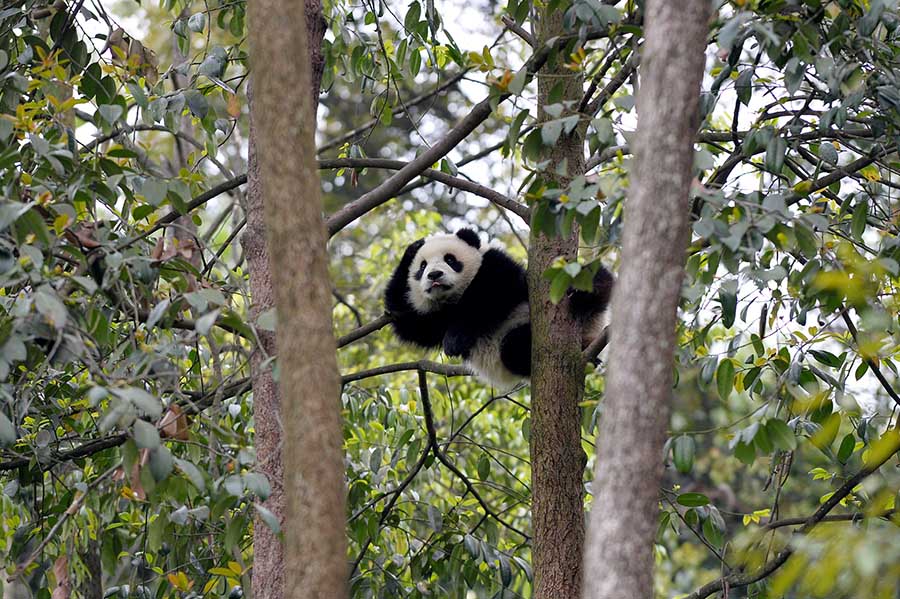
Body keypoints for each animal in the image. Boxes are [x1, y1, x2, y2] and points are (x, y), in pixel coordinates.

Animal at [384, 229, 616, 390]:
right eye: (422, 267)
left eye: (450, 259)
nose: (434, 275)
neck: (454, 299)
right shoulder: (433, 319)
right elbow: (408, 324)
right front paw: (410, 251)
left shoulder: (496, 266)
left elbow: (495, 290)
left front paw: (455, 339)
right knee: (513, 350)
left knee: (595, 276)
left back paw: (585, 294)